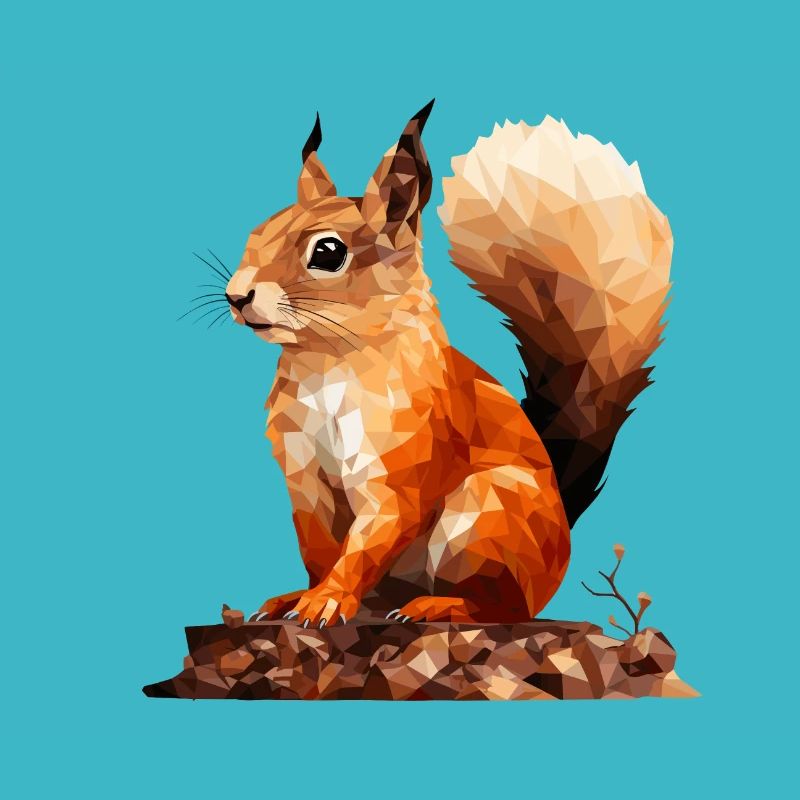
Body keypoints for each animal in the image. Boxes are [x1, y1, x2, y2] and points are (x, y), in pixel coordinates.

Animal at [222, 100, 672, 628]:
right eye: (257, 232)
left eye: (329, 252)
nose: (235, 296)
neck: (328, 363)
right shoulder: (303, 476)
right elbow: (318, 548)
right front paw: (305, 595)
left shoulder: (405, 462)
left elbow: (370, 538)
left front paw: (327, 599)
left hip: (484, 519)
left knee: (503, 607)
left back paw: (439, 605)